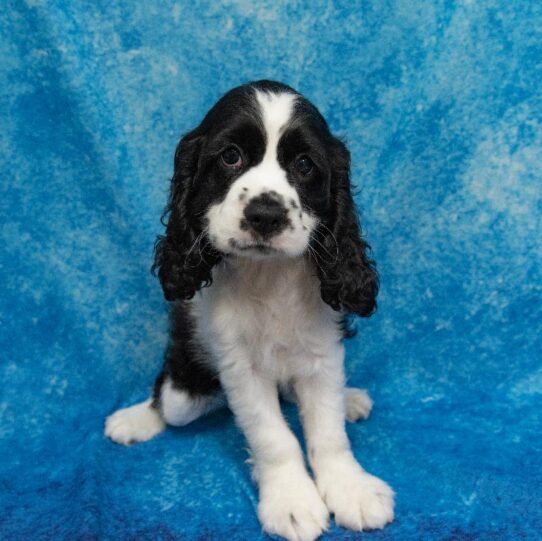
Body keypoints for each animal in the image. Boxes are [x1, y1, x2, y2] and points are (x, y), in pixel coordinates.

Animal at [105, 80, 396, 540]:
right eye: (230, 156)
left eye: (304, 164)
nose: (266, 214)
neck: (267, 277)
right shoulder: (240, 368)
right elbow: (273, 436)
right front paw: (292, 501)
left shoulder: (322, 353)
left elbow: (328, 431)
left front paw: (351, 489)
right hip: (183, 390)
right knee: (169, 403)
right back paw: (135, 420)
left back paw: (350, 398)